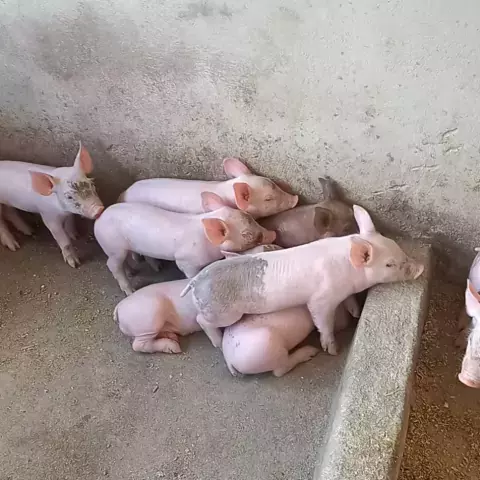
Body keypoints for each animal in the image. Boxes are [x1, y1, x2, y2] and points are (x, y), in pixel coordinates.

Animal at [94, 192, 276, 295]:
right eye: (247, 234)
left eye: (251, 217)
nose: (273, 233)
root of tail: (99, 220)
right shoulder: (185, 261)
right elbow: (189, 273)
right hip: (113, 247)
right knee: (112, 264)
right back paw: (130, 291)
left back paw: (144, 270)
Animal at [181, 205, 424, 355]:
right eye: (389, 264)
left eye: (398, 247)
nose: (420, 268)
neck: (348, 271)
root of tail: (196, 280)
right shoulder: (321, 299)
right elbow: (322, 321)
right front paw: (332, 350)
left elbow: (350, 301)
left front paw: (356, 313)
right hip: (223, 313)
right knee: (202, 321)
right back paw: (218, 344)